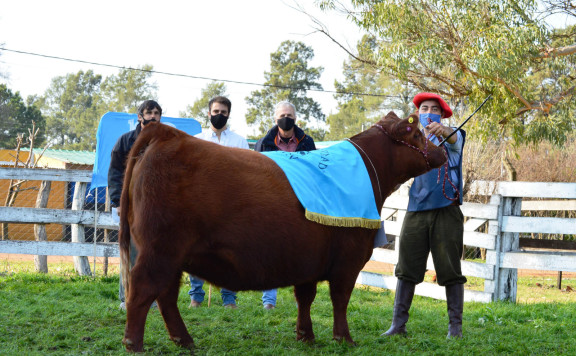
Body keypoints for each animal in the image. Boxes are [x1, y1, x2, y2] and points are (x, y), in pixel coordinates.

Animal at [119, 110, 448, 350]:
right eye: (417, 134)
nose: (441, 152)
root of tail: (168, 134)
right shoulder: (348, 260)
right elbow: (340, 299)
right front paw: (344, 339)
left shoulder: (310, 260)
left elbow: (305, 297)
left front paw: (306, 336)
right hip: (160, 250)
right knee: (143, 291)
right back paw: (134, 344)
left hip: (171, 257)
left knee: (165, 296)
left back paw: (184, 341)